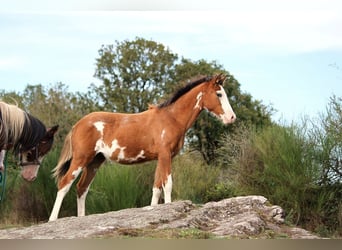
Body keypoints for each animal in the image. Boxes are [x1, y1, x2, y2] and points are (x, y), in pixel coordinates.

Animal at [48, 74, 235, 221]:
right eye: (219, 94)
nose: (232, 117)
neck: (171, 118)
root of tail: (77, 125)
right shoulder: (165, 155)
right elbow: (167, 184)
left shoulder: (161, 158)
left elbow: (156, 188)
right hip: (81, 159)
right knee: (64, 184)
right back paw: (52, 220)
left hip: (95, 161)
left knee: (82, 188)